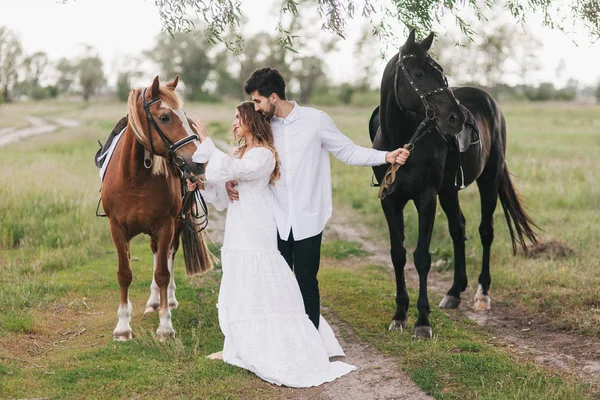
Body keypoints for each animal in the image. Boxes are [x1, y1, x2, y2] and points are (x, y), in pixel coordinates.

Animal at [103, 76, 213, 340]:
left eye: (183, 115)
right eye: (164, 117)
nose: (199, 163)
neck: (135, 178)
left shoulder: (165, 225)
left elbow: (163, 273)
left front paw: (165, 326)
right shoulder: (116, 228)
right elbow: (124, 274)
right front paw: (122, 327)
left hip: (177, 224)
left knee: (169, 256)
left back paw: (168, 301)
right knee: (156, 253)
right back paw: (153, 302)